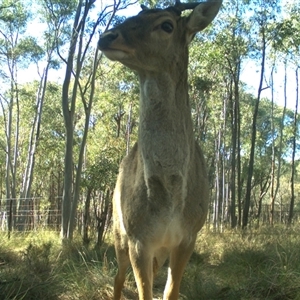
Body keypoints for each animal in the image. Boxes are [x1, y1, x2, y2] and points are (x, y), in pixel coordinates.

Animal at [98, 1, 223, 298]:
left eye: (167, 24)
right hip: (117, 230)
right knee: (118, 276)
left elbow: (169, 292)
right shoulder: (139, 238)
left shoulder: (188, 237)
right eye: (137, 14)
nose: (106, 36)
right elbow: (145, 292)